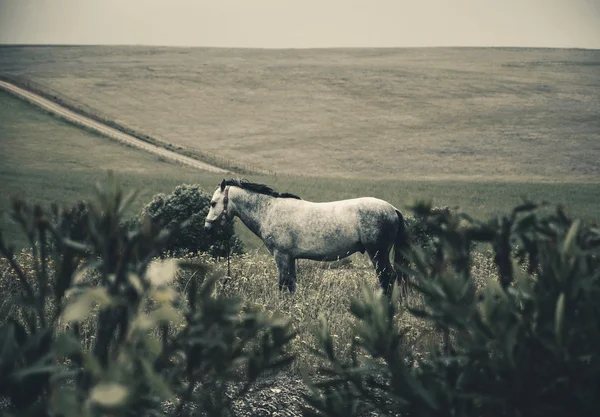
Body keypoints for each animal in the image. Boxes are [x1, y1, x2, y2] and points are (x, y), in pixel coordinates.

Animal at [204, 178, 410, 292]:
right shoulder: (291, 258)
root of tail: (392, 209)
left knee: (388, 279)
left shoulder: (281, 256)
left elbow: (283, 284)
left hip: (378, 254)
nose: (207, 227)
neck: (269, 210)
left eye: (213, 203)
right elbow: (291, 285)